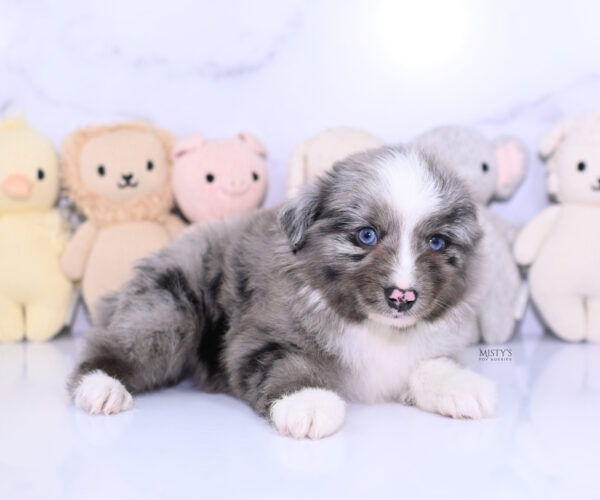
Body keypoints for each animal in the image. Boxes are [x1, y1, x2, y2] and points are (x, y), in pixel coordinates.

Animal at [69, 144, 496, 438]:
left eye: (437, 243)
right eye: (366, 236)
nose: (402, 297)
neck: (376, 328)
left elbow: (428, 364)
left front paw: (460, 385)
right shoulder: (259, 338)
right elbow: (288, 363)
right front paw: (308, 402)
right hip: (168, 311)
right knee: (115, 345)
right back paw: (101, 387)